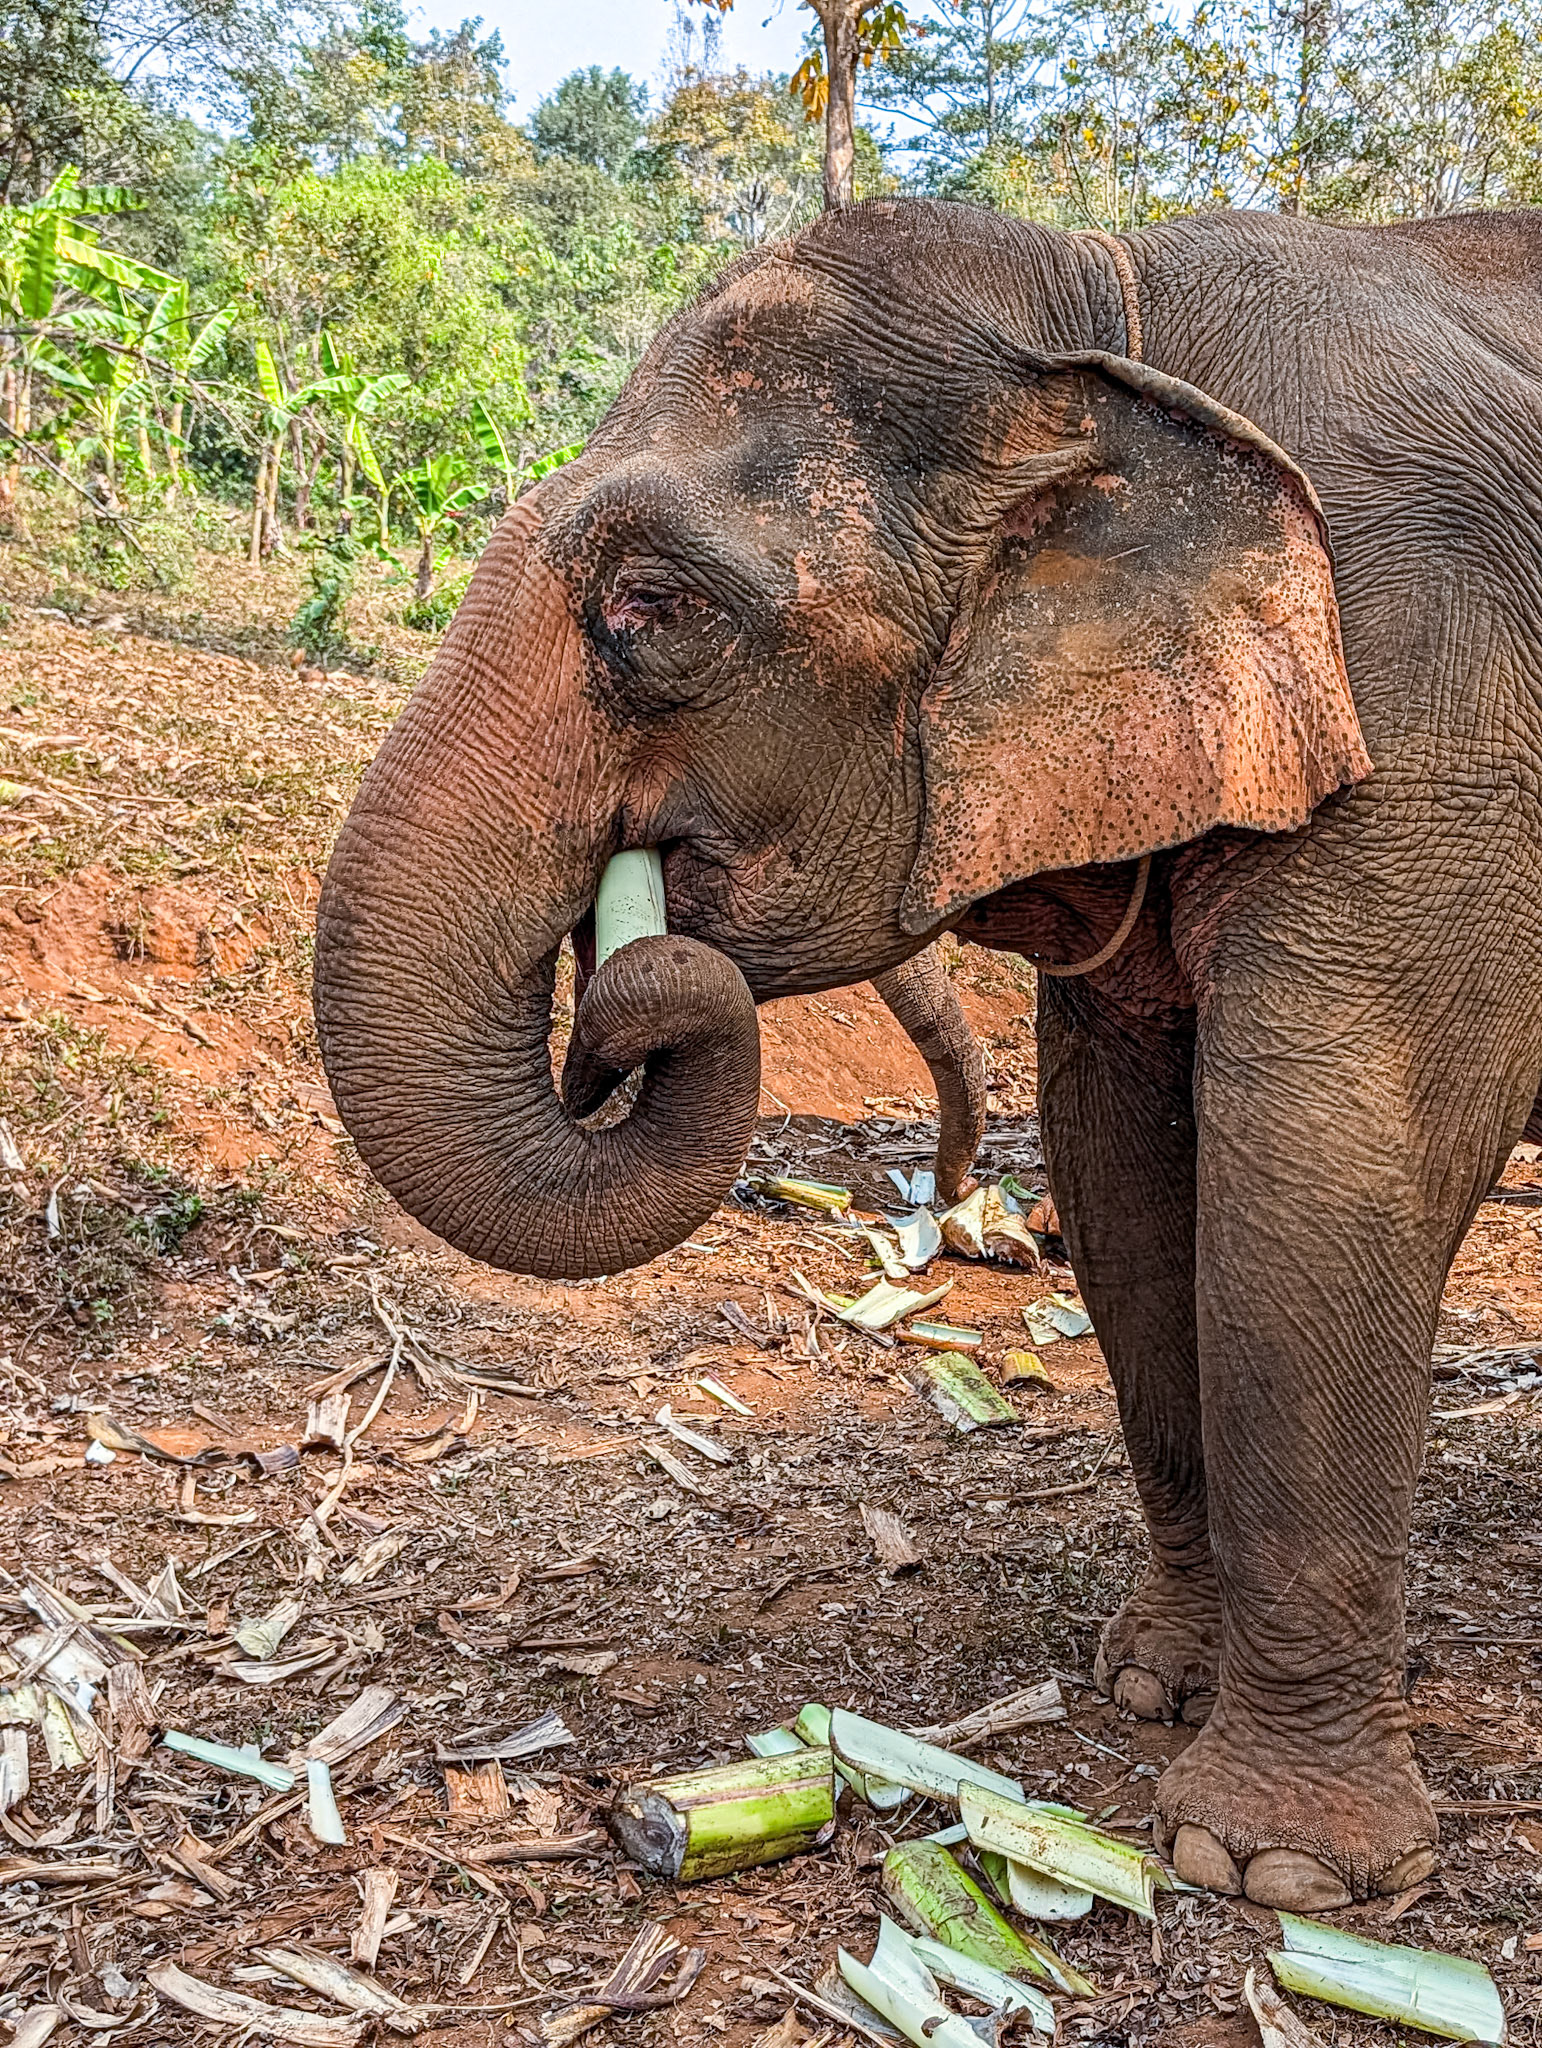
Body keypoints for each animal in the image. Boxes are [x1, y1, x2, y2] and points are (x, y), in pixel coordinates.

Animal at [315, 198, 1542, 1913]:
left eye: (651, 608)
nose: (615, 1001)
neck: (1102, 298)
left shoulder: (1436, 704)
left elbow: (1322, 1175)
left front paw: (1275, 1873)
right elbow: (1122, 1176)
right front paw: (1143, 1688)